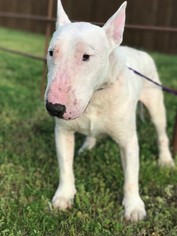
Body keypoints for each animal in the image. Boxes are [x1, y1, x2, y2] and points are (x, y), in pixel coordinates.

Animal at [44, 0, 174, 221]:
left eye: (86, 56)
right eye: (52, 52)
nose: (54, 108)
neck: (96, 96)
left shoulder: (128, 140)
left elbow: (131, 176)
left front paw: (134, 207)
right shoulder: (63, 132)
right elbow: (65, 166)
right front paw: (63, 197)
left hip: (156, 102)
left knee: (161, 132)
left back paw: (165, 160)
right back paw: (87, 146)